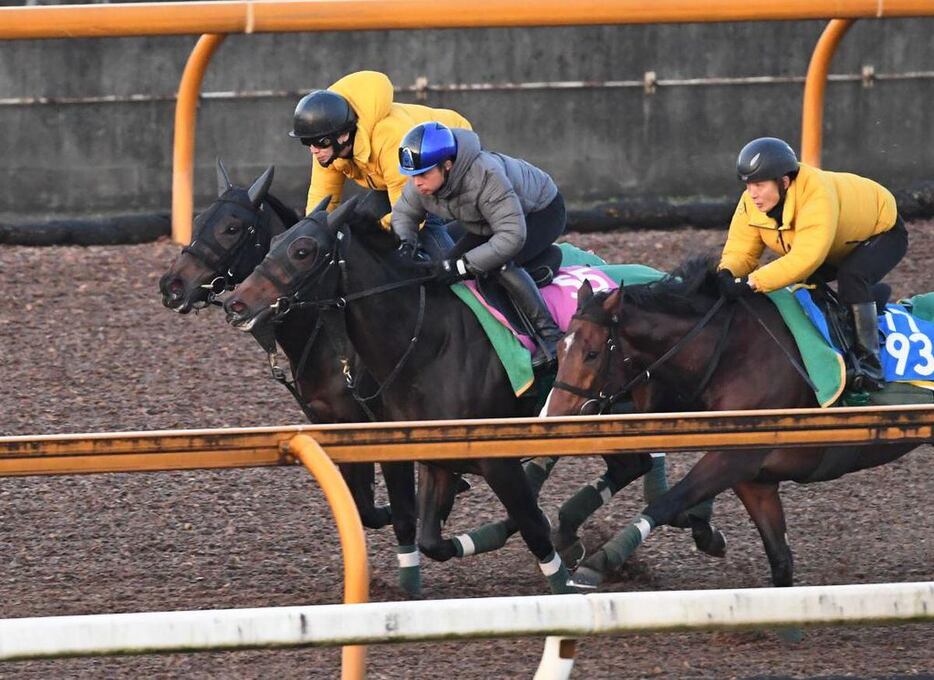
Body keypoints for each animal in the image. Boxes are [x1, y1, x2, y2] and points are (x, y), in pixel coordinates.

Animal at [158, 165, 420, 596]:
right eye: (197, 221)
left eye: (232, 228)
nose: (172, 286)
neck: (326, 335)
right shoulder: (330, 423)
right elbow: (360, 504)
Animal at [548, 258, 920, 592]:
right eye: (559, 347)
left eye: (592, 353)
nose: (554, 415)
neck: (733, 353)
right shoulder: (753, 478)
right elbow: (780, 559)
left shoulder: (735, 457)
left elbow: (665, 503)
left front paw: (599, 563)